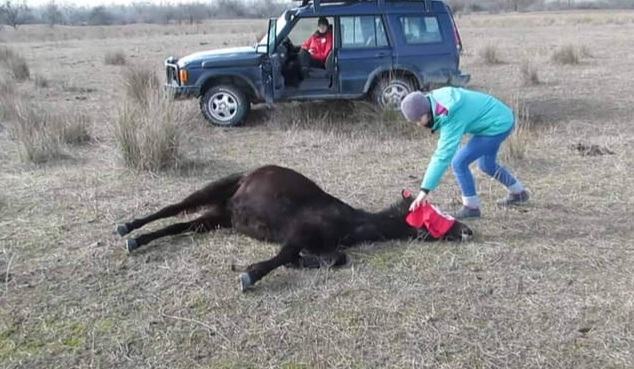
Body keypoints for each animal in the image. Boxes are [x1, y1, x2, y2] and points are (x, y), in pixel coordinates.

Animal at [115, 165, 470, 290]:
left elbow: (336, 258)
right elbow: (285, 255)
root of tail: (247, 177)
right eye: (432, 215)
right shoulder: (298, 232)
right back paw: (127, 228)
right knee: (172, 208)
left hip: (219, 217)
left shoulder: (321, 243)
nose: (466, 230)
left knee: (182, 225)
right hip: (214, 192)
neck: (350, 222)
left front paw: (306, 263)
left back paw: (138, 240)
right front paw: (249, 275)